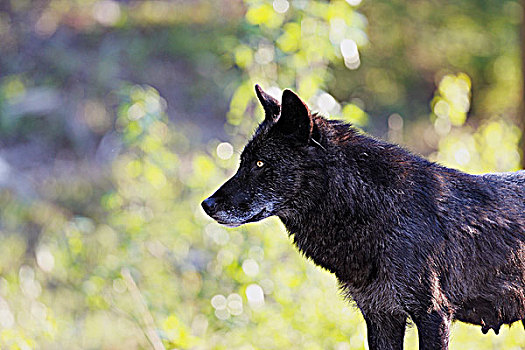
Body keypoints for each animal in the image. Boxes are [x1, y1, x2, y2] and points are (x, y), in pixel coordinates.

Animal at [202, 85, 524, 350]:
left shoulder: (433, 315)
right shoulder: (380, 315)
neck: (383, 211)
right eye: (242, 162)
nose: (207, 204)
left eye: (259, 163)